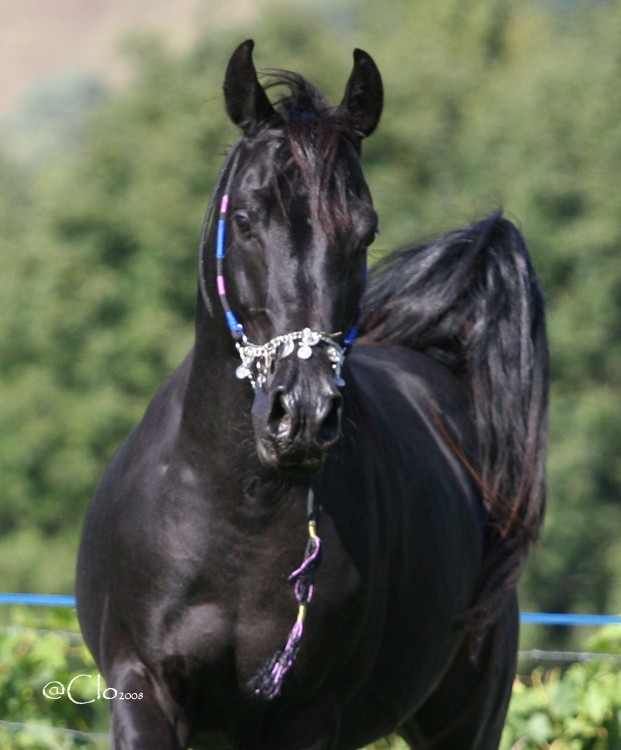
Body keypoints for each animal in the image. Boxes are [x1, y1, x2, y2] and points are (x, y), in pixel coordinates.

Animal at [77, 41, 548, 750]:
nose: (300, 414)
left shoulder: (305, 713)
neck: (233, 519)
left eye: (365, 232)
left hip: (465, 718)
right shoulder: (144, 693)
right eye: (245, 219)